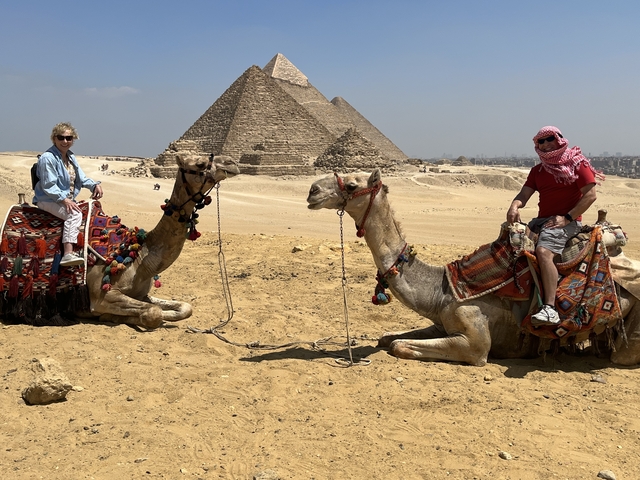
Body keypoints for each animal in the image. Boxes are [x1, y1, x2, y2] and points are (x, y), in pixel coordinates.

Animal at [80, 154, 239, 328]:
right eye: (200, 164)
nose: (231, 163)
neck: (138, 257)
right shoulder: (101, 296)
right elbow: (154, 312)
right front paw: (111, 317)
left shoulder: (141, 295)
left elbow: (185, 308)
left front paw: (112, 317)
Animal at [307, 170, 640, 366]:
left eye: (352, 184)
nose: (312, 190)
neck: (442, 288)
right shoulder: (441, 321)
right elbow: (387, 338)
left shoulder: (475, 344)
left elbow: (398, 345)